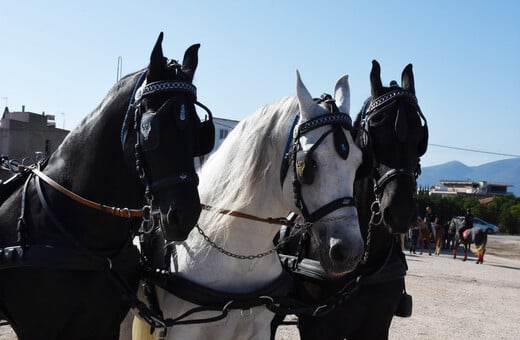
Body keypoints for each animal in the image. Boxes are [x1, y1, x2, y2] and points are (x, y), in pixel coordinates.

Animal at [128, 71, 364, 340]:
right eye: (308, 164)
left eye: (359, 163)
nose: (349, 250)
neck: (237, 254)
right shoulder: (183, 331)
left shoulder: (259, 329)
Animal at [274, 59, 428, 338]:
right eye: (374, 131)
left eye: (421, 137)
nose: (400, 210)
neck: (364, 267)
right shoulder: (315, 326)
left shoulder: (377, 326)